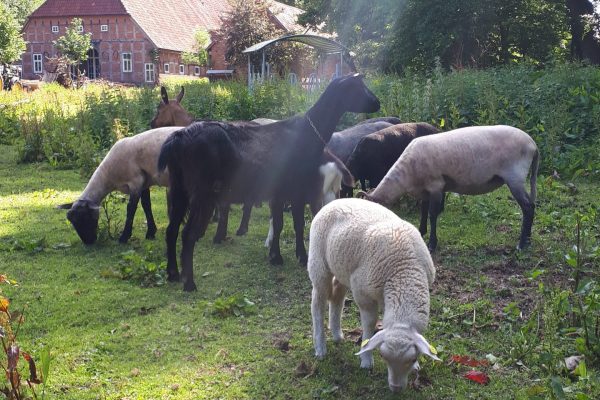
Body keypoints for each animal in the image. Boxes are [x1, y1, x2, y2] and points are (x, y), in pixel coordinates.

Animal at [157, 73, 378, 290]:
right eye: (357, 87)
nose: (377, 103)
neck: (308, 133)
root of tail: (179, 137)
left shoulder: (289, 191)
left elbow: (296, 224)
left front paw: (294, 255)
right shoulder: (291, 190)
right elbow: (283, 224)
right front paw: (281, 257)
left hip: (179, 189)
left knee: (171, 230)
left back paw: (172, 274)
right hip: (202, 192)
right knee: (187, 234)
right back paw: (189, 282)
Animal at [308, 198, 438, 392]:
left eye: (413, 358)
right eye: (383, 357)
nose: (396, 389)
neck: (404, 271)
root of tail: (335, 201)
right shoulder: (363, 294)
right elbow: (369, 325)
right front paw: (366, 360)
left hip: (343, 268)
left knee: (337, 295)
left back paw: (337, 334)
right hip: (319, 264)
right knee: (318, 303)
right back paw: (320, 348)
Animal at [360, 124, 540, 250]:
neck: (406, 175)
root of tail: (533, 145)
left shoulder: (436, 186)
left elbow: (432, 215)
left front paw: (432, 244)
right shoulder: (425, 190)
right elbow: (423, 211)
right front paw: (421, 231)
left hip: (515, 177)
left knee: (528, 207)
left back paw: (522, 244)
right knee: (531, 206)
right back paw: (528, 240)